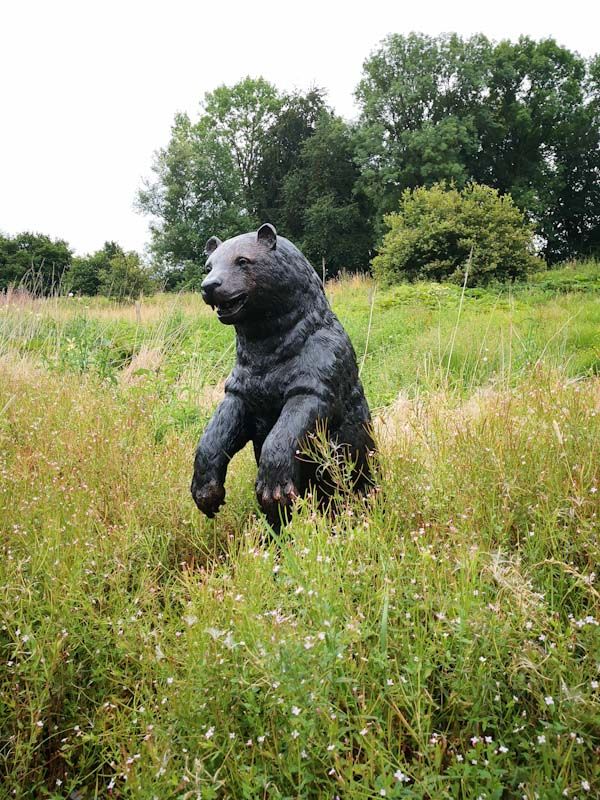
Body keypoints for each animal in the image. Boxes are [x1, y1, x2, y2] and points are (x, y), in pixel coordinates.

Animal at [191, 222, 376, 532]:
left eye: (243, 260)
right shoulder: (242, 386)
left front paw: (274, 489)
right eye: (209, 266)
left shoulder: (319, 369)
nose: (210, 286)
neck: (269, 353)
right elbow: (218, 429)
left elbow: (291, 425)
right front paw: (206, 493)